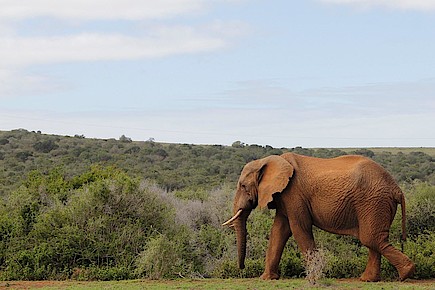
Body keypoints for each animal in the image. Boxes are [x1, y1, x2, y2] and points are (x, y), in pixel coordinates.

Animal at [223, 153, 418, 282]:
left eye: (243, 186)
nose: (241, 268)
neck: (270, 160)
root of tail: (397, 189)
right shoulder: (285, 197)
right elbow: (279, 231)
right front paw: (267, 279)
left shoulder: (294, 194)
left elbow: (299, 228)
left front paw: (314, 277)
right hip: (376, 203)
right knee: (373, 239)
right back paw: (368, 280)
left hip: (374, 202)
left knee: (371, 238)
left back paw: (405, 274)